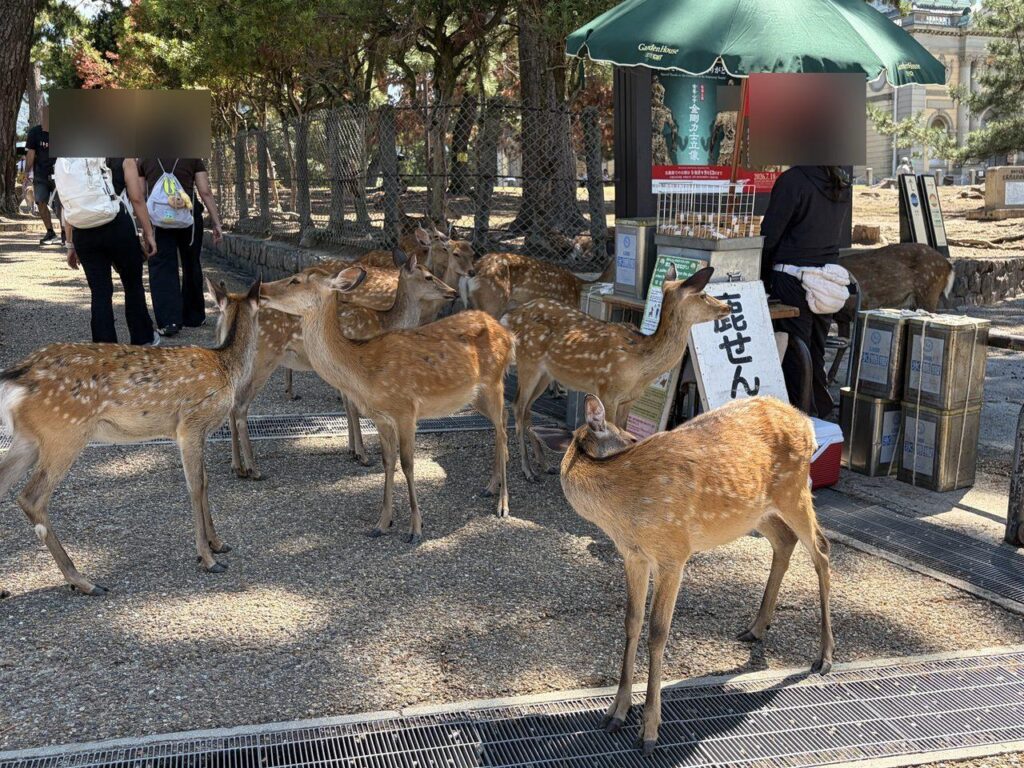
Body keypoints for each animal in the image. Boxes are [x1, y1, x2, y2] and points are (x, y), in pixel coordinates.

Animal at [0, 279, 291, 595]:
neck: (226, 367)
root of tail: (16, 378)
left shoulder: (198, 432)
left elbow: (205, 482)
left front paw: (218, 543)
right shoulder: (190, 425)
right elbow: (196, 486)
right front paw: (208, 557)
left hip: (29, 438)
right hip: (65, 433)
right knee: (32, 498)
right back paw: (84, 581)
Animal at [229, 249, 457, 478]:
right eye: (429, 277)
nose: (453, 292)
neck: (384, 323)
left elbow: (348, 406)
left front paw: (352, 449)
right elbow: (354, 408)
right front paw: (362, 454)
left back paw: (238, 466)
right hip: (262, 359)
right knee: (240, 407)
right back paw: (253, 468)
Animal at [259, 265, 514, 543]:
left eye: (295, 280)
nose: (260, 289)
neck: (363, 371)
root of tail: (509, 334)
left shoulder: (406, 410)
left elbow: (408, 464)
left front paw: (415, 529)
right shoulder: (380, 417)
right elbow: (388, 462)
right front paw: (382, 523)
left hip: (494, 382)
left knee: (503, 430)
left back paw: (503, 505)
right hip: (475, 395)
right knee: (501, 424)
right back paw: (490, 487)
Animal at [501, 266, 728, 481]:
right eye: (702, 294)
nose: (728, 306)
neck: (641, 367)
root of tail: (509, 317)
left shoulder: (628, 400)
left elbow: (623, 432)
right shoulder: (608, 391)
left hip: (545, 373)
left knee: (527, 408)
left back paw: (545, 464)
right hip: (528, 362)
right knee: (517, 406)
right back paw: (528, 470)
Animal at [542, 394, 833, 756]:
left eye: (633, 437)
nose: (636, 438)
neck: (622, 517)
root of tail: (806, 421)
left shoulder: (673, 552)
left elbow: (657, 632)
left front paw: (649, 731)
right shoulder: (633, 554)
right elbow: (631, 622)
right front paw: (615, 712)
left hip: (794, 489)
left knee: (822, 549)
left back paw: (824, 657)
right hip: (755, 511)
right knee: (785, 540)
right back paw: (755, 628)